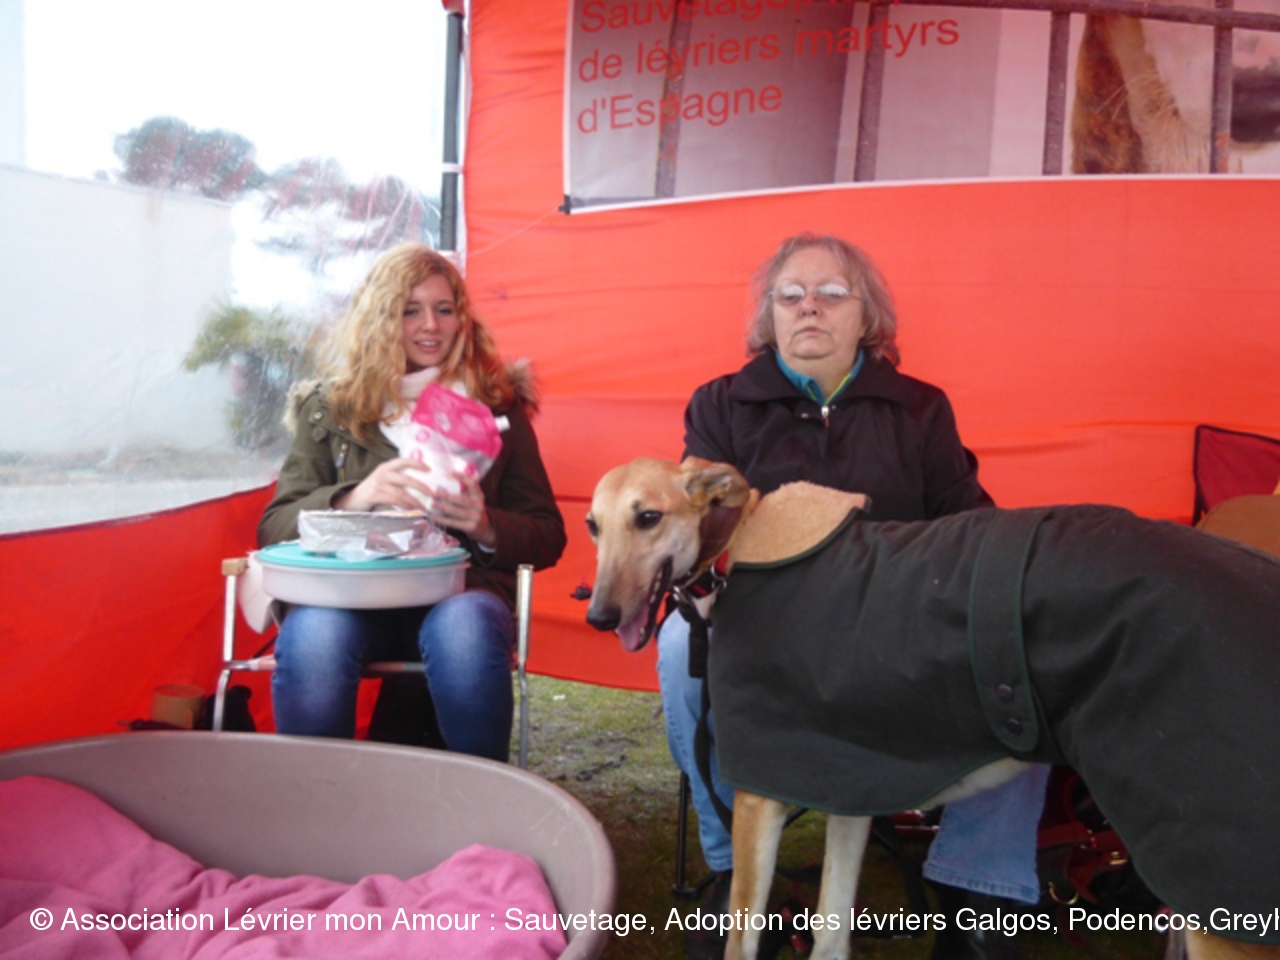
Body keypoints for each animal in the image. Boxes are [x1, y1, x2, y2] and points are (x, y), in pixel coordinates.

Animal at [585, 457, 1280, 960]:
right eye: (592, 524)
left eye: (648, 516)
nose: (598, 616)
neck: (741, 543)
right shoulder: (846, 782)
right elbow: (831, 934)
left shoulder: (761, 798)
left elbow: (744, 940)